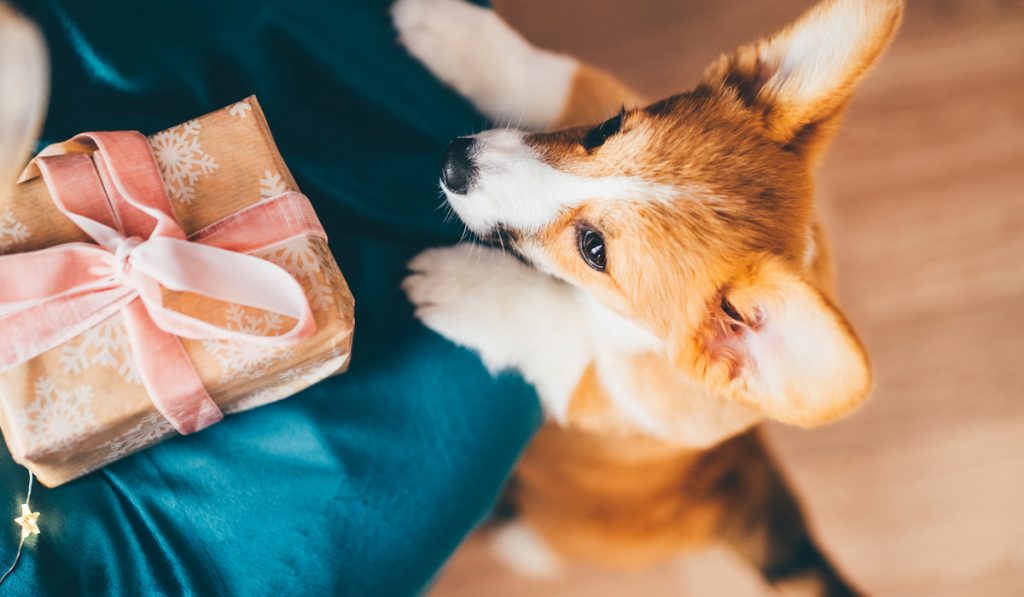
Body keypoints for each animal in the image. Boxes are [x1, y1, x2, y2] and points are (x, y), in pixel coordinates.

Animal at [395, 0, 901, 593]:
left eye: (593, 249)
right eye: (607, 127)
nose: (454, 160)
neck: (623, 324)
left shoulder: (601, 391)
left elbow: (554, 325)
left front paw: (461, 288)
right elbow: (560, 79)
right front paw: (454, 34)